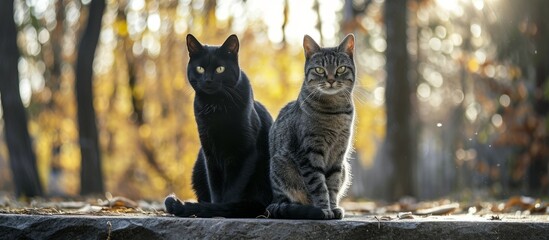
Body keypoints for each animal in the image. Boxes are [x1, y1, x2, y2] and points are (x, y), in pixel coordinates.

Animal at [164, 33, 272, 218]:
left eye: (220, 69)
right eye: (200, 69)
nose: (208, 80)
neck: (216, 107)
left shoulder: (245, 152)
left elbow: (234, 189)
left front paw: (223, 209)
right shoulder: (209, 153)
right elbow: (215, 187)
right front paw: (215, 208)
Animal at [266, 33, 356, 219]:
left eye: (341, 69)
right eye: (320, 70)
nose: (331, 80)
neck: (334, 111)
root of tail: (274, 200)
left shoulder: (339, 154)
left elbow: (332, 185)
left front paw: (333, 207)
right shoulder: (309, 153)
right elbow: (319, 185)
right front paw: (324, 209)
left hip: (345, 167)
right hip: (282, 168)